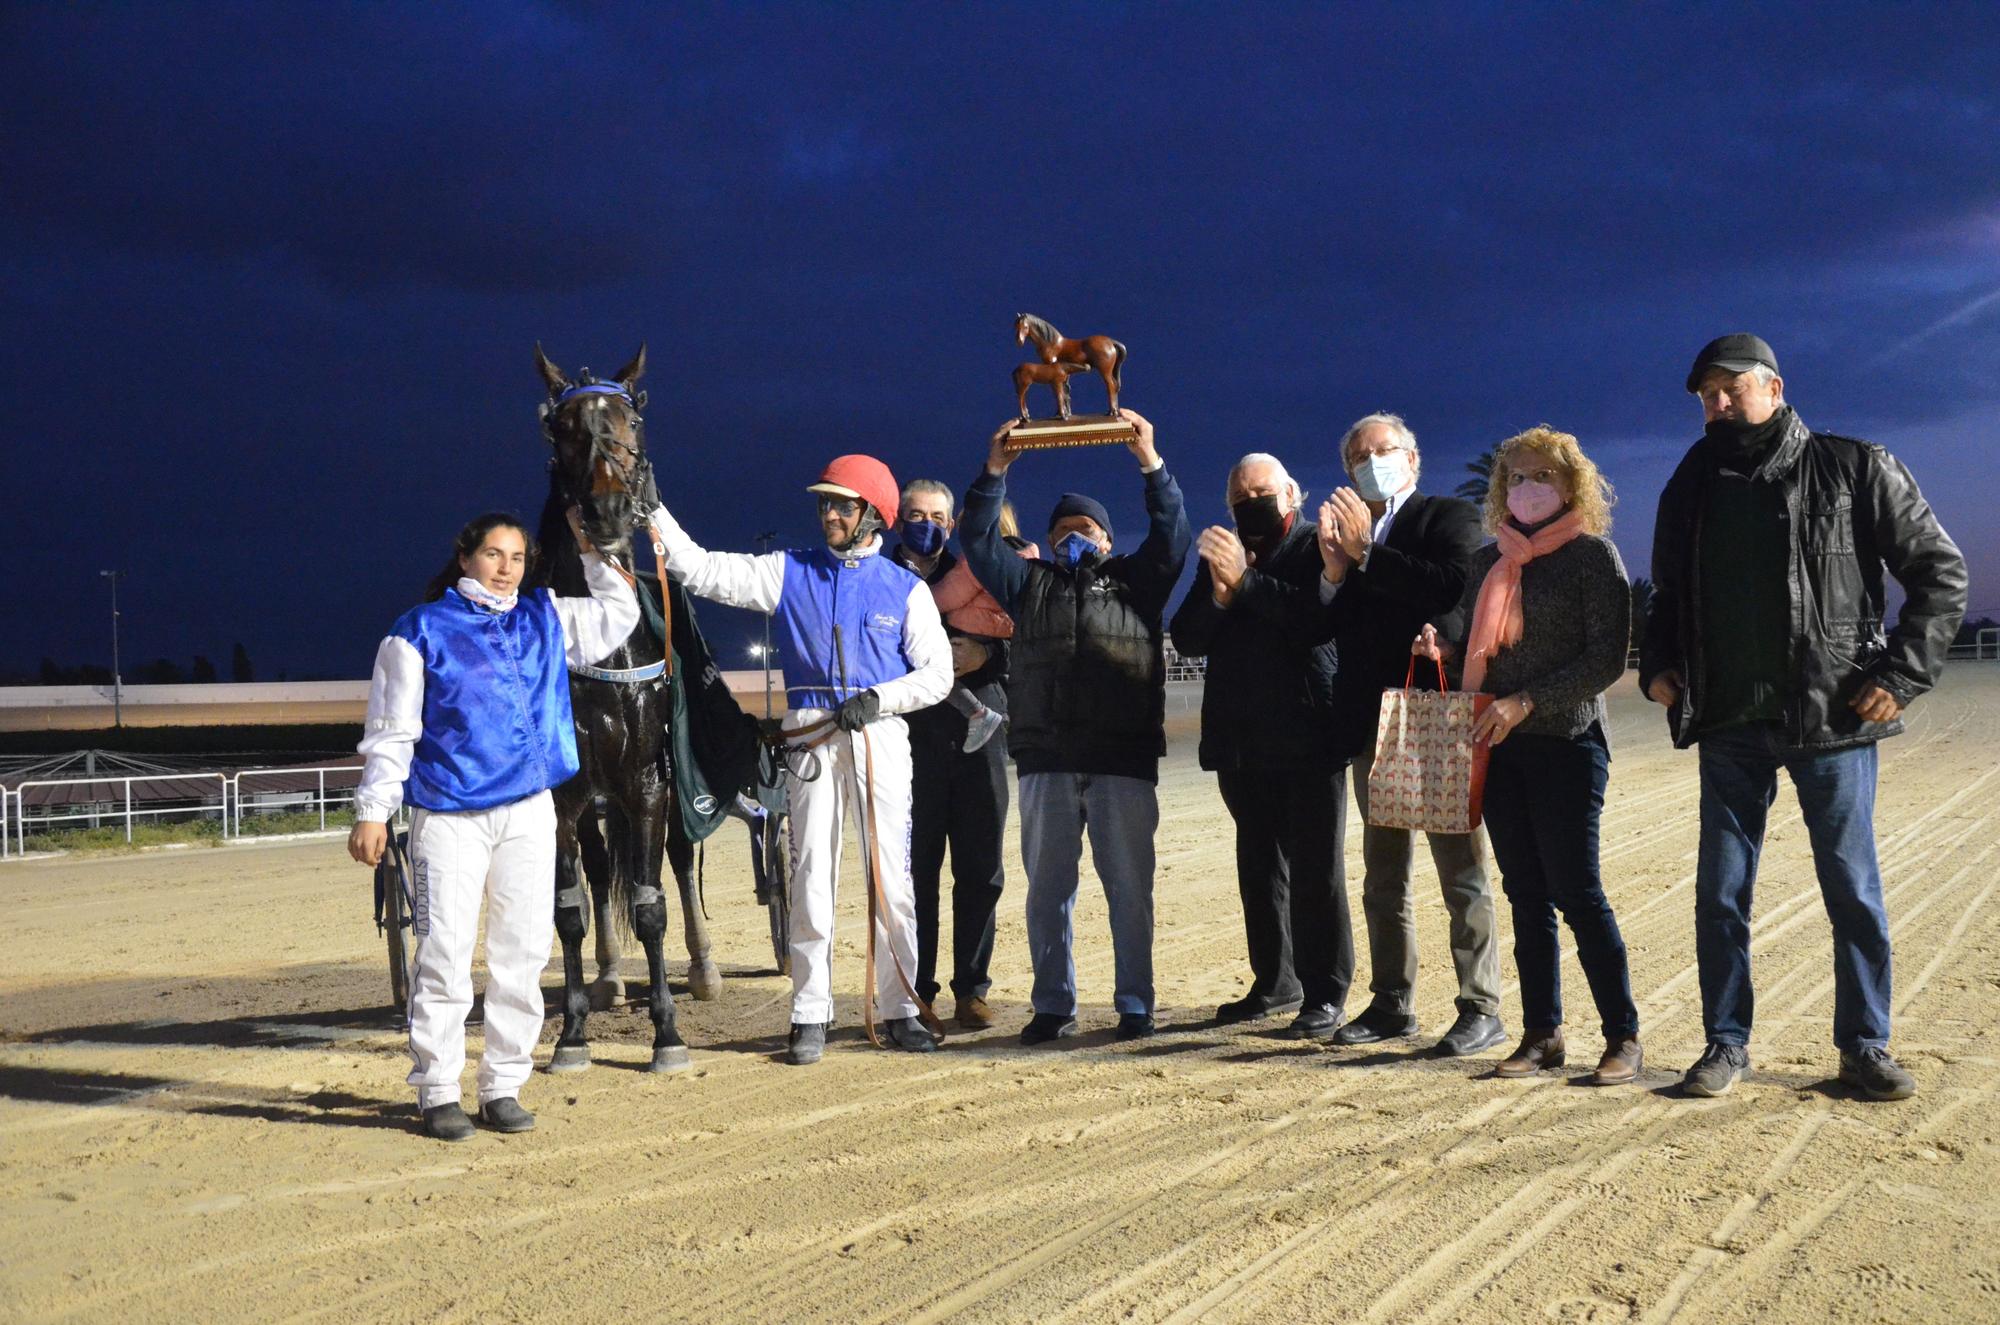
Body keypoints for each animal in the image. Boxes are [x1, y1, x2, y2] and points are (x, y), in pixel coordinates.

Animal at [532, 344, 720, 1080]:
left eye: (630, 422)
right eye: (561, 430)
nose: (609, 508)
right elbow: (569, 911)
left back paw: (703, 969)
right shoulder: (566, 796)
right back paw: (610, 979)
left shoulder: (646, 783)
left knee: (677, 860)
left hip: (669, 787)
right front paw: (573, 1033)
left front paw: (667, 1032)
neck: (605, 645)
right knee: (595, 869)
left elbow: (651, 905)